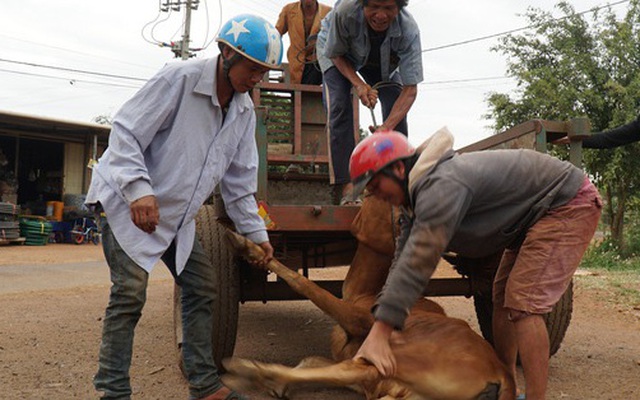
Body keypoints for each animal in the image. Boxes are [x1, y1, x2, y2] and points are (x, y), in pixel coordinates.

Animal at [224, 198, 516, 400]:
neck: (365, 292)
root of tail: (502, 376)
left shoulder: (359, 321)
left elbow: (306, 285)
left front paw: (248, 246)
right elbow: (311, 360)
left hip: (394, 358)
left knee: (356, 369)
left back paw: (246, 370)